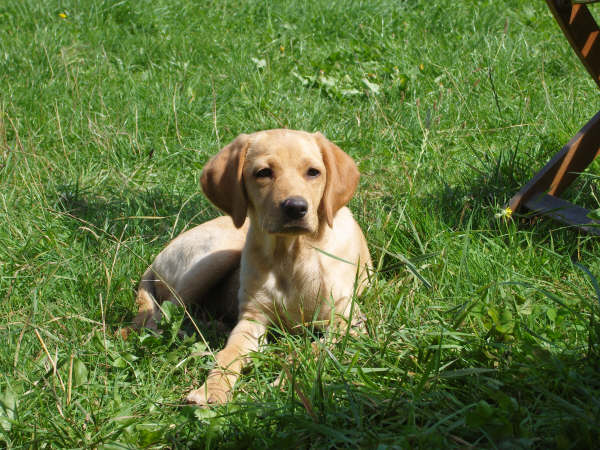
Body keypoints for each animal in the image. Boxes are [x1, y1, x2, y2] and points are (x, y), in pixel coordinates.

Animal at [134, 129, 372, 406]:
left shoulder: (348, 323)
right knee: (166, 314)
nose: (296, 207)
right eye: (263, 172)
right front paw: (211, 389)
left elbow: (311, 349)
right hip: (215, 257)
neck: (292, 256)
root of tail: (154, 262)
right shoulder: (252, 319)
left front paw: (289, 383)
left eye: (313, 172)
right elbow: (228, 354)